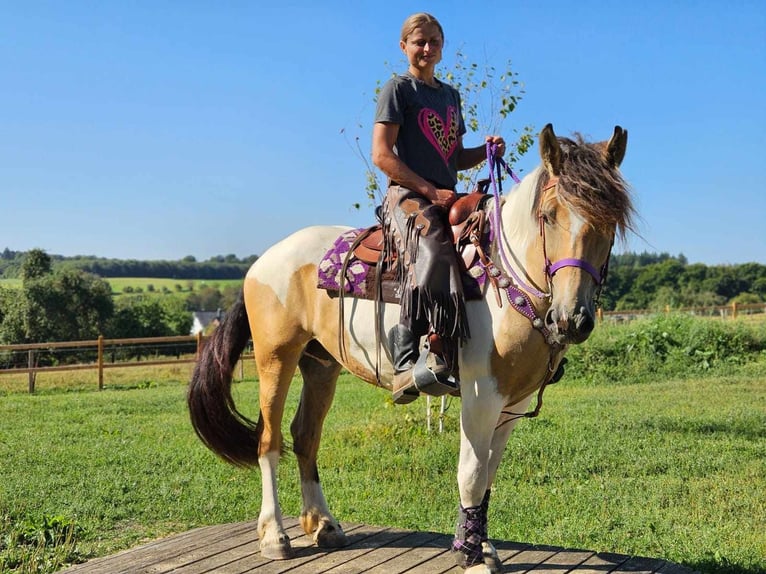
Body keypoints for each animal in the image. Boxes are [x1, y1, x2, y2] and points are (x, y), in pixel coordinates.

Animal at [186, 124, 636, 572]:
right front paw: (471, 555)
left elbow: (489, 473)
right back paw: (274, 536)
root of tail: (261, 262)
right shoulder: (481, 394)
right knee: (269, 440)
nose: (571, 319)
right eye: (548, 216)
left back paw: (324, 525)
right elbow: (471, 474)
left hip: (321, 365)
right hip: (275, 357)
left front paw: (480, 545)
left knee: (306, 435)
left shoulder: (512, 400)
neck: (505, 280)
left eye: (611, 223)